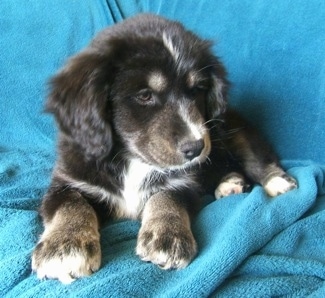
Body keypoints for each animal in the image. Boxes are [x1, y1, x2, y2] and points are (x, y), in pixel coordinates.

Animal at [31, 14, 296, 284]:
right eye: (145, 95)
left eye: (197, 90)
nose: (196, 148)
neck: (133, 160)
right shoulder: (68, 181)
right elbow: (71, 205)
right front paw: (65, 247)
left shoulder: (183, 182)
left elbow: (166, 197)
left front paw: (167, 238)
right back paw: (230, 184)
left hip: (235, 132)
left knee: (256, 159)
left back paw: (276, 182)